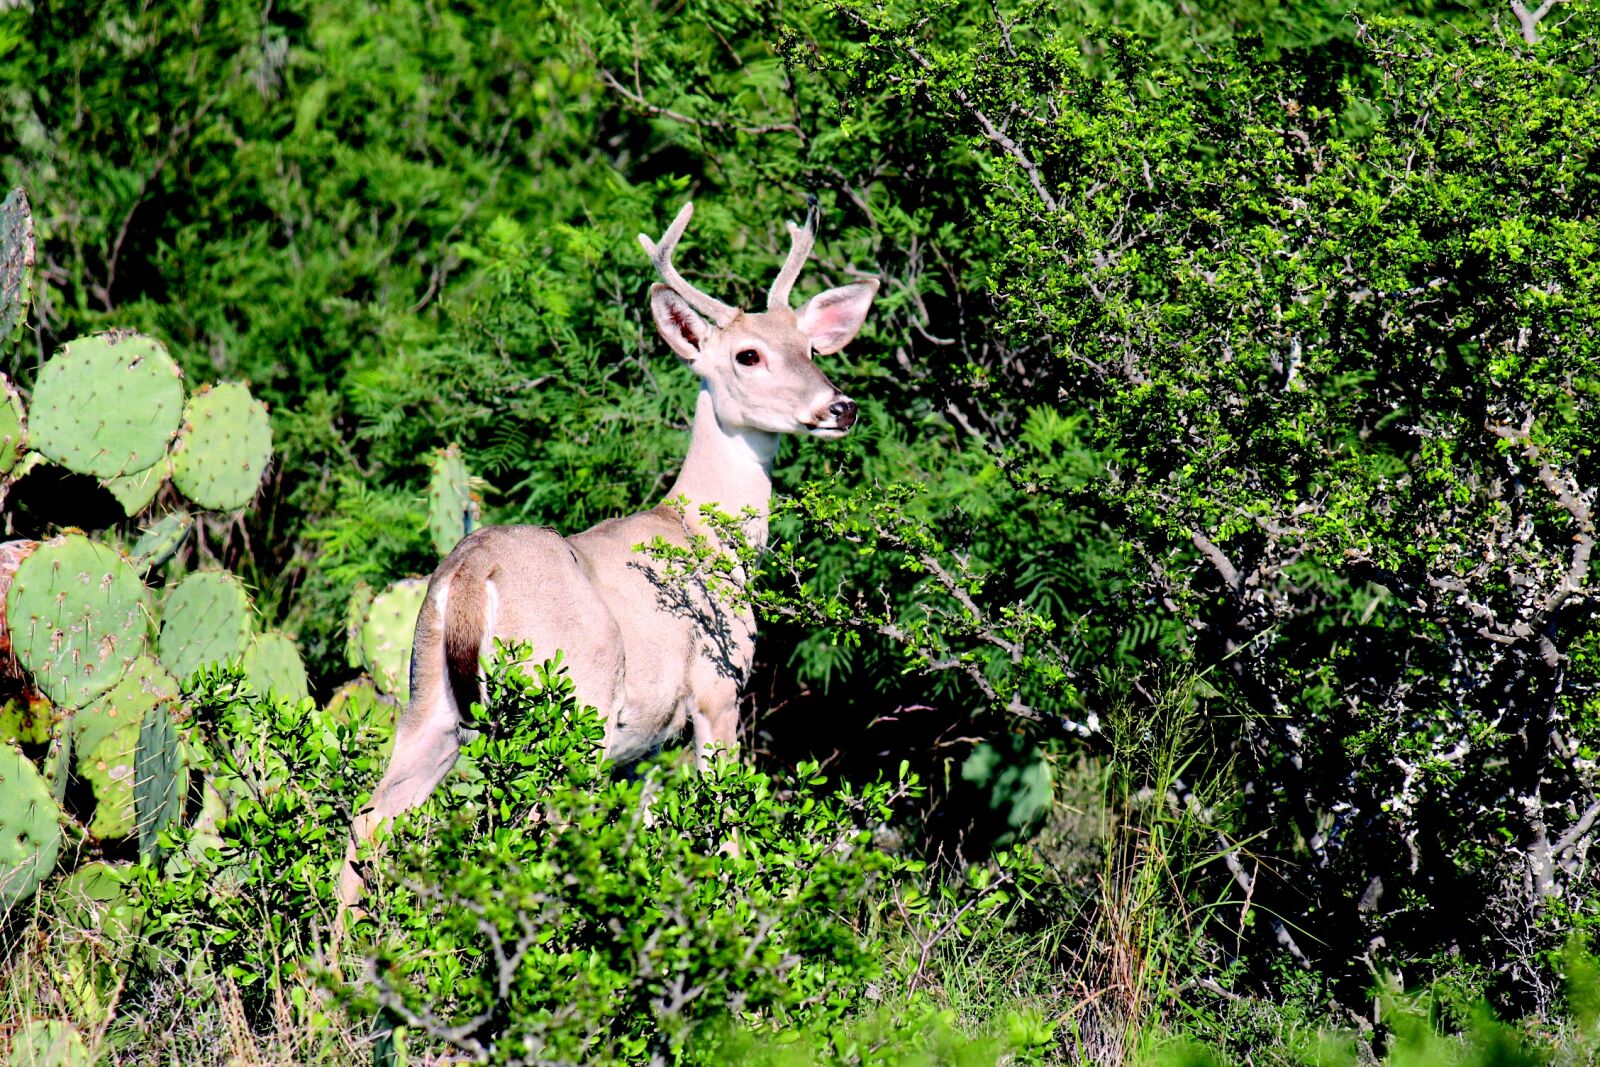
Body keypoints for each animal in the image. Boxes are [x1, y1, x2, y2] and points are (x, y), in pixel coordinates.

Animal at [339, 201, 878, 908]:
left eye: (811, 348)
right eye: (748, 354)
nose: (839, 407)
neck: (703, 532)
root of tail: (472, 574)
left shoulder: (646, 742)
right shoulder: (717, 688)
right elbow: (727, 829)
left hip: (428, 697)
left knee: (369, 820)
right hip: (573, 701)